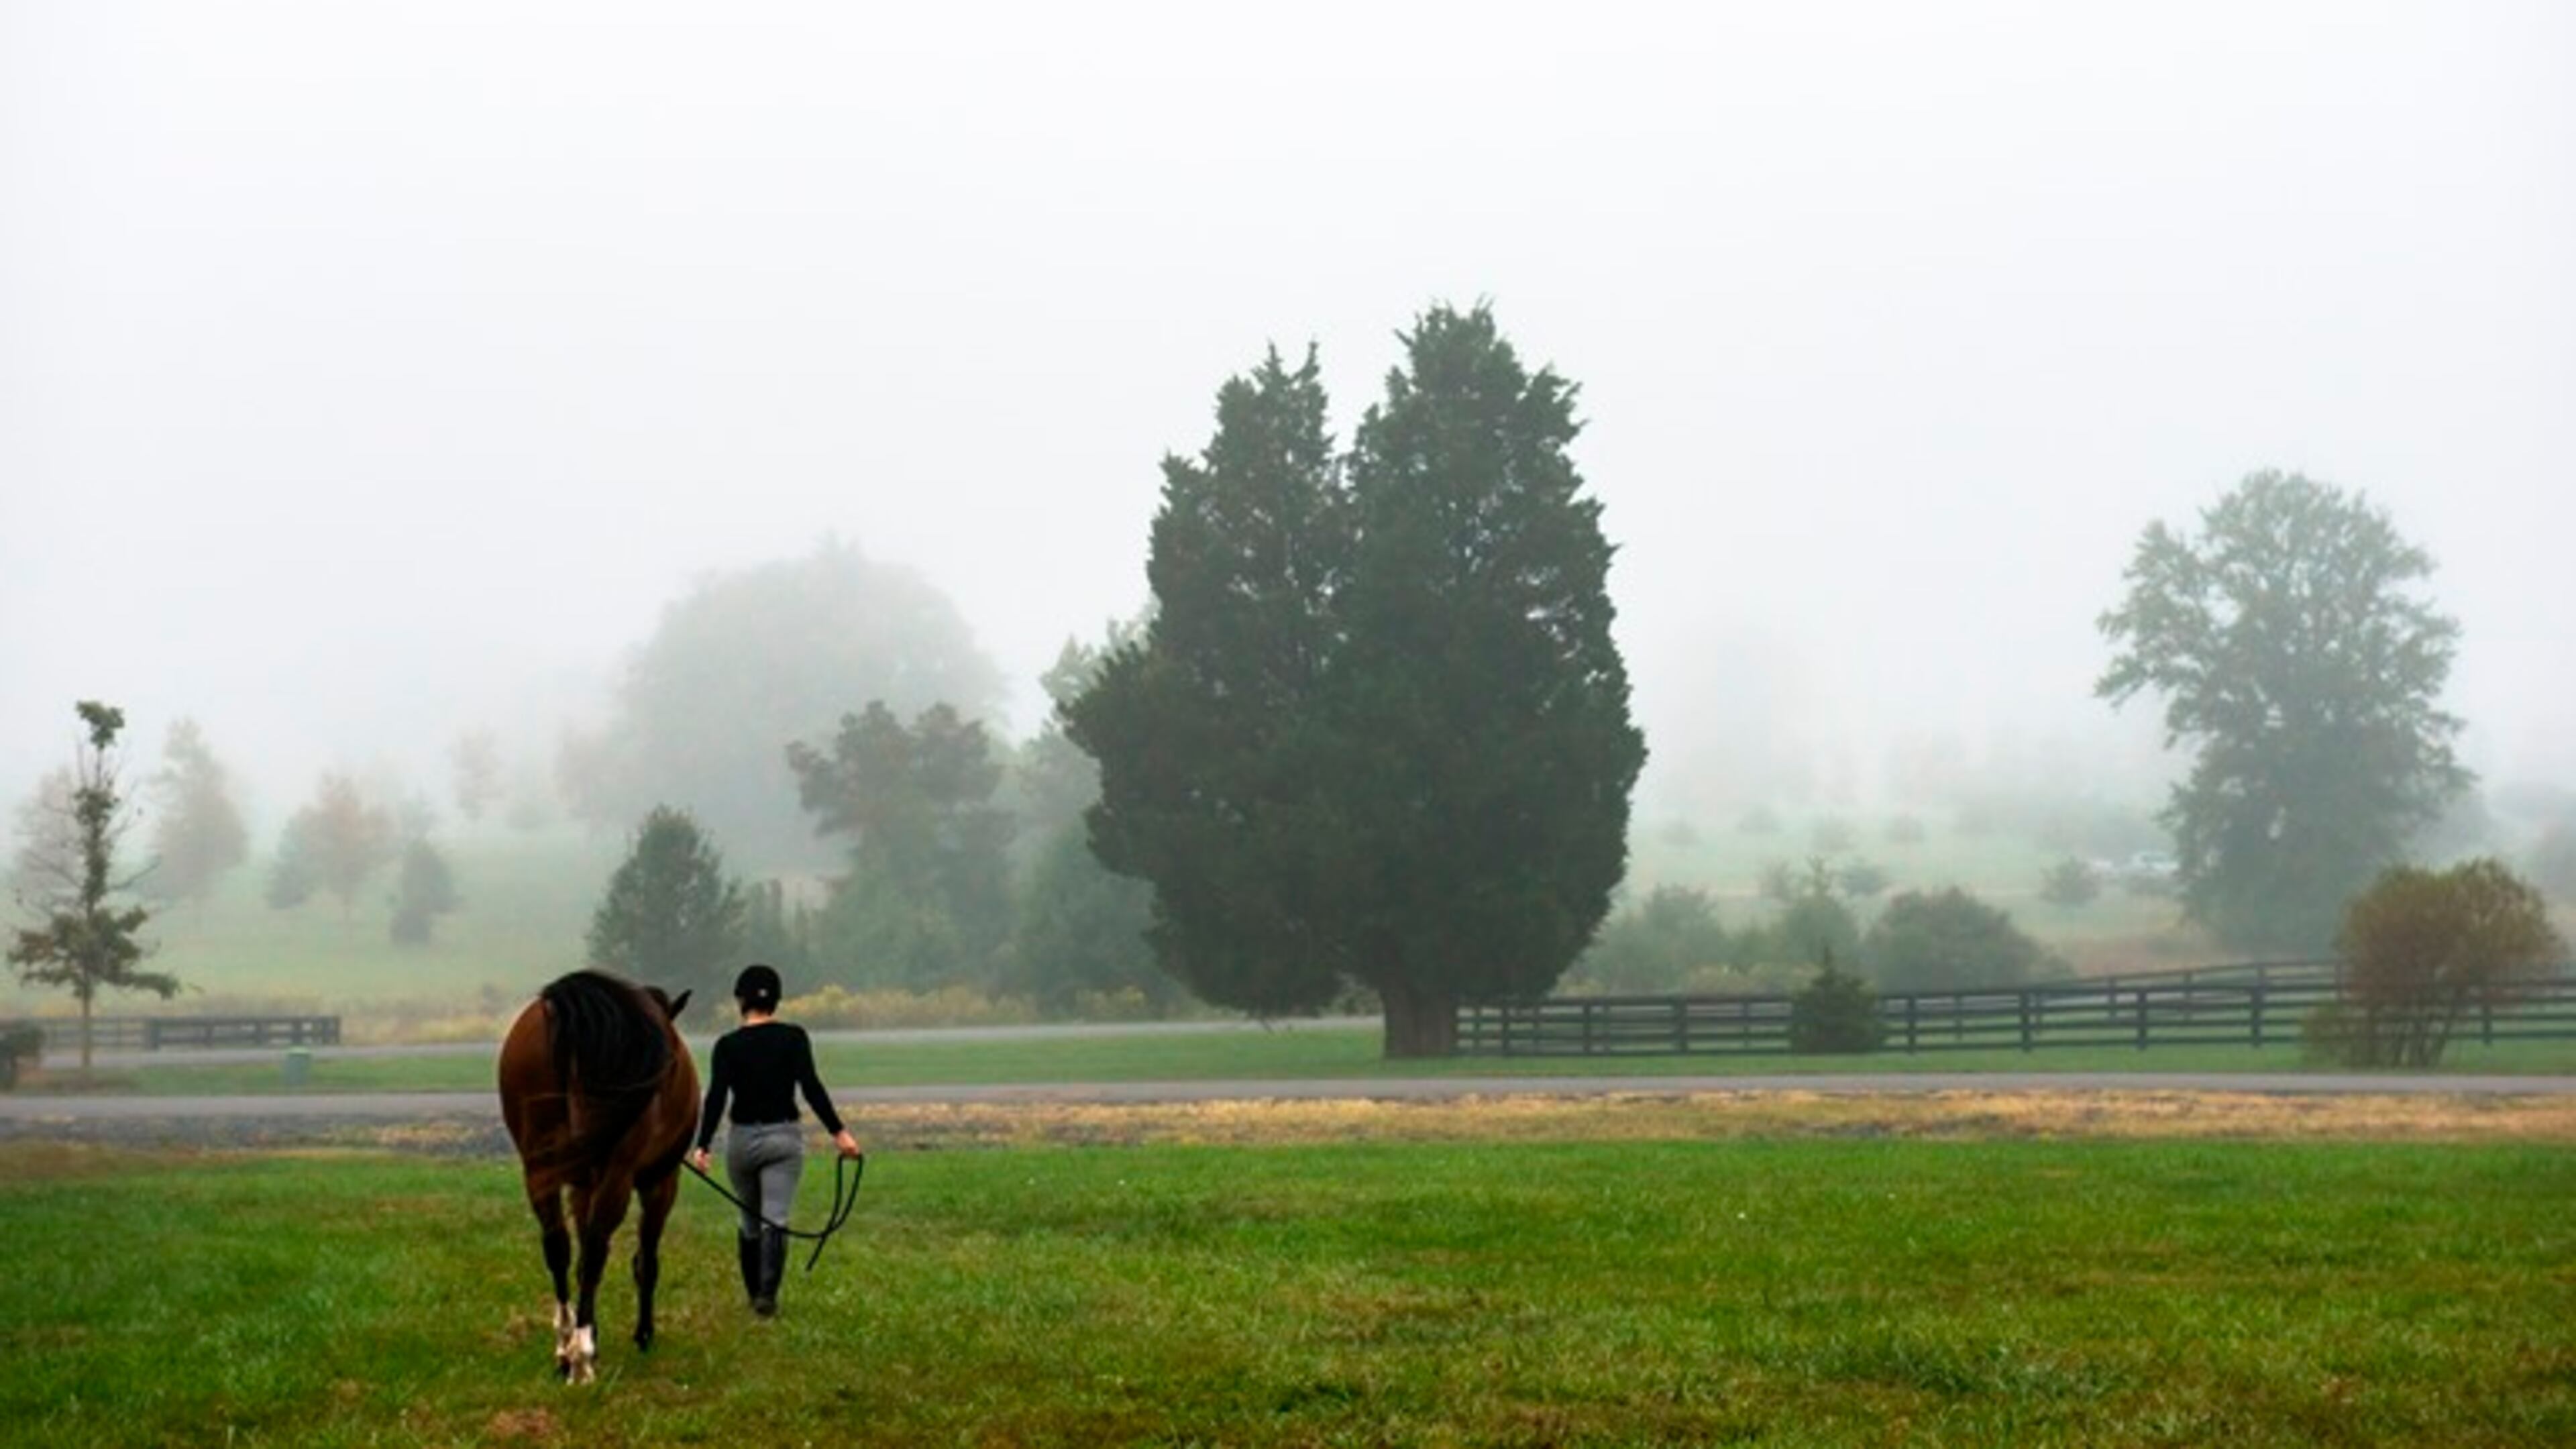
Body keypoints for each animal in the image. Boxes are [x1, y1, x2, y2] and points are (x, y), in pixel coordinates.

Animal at [496, 969, 699, 1384]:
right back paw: (582, 1355)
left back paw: (564, 1345)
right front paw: (642, 1334)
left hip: (539, 1168)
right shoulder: (660, 1183)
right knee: (594, 1251)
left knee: (558, 1247)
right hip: (618, 1175)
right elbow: (645, 1261)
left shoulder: (580, 1185)